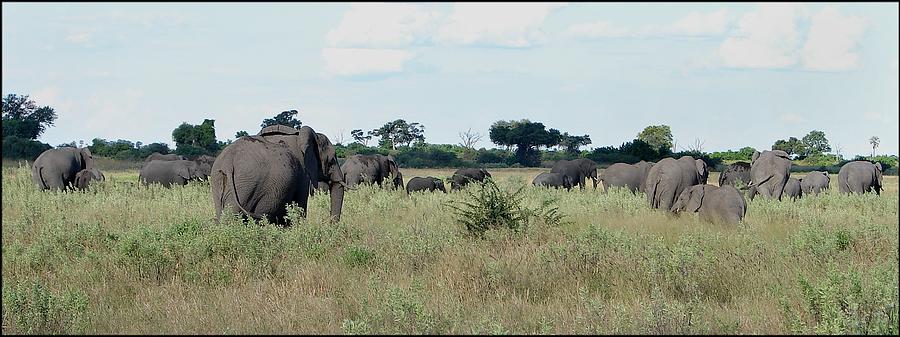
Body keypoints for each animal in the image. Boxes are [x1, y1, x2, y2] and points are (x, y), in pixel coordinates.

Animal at [211, 124, 344, 224]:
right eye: (332, 161)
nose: (330, 225)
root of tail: (228, 162)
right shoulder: (303, 173)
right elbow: (299, 206)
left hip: (218, 180)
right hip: (244, 185)